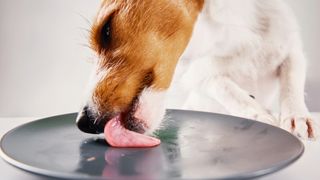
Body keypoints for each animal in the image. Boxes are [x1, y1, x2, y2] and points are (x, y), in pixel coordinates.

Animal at [76, 0, 318, 147]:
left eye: (106, 30)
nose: (82, 122)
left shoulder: (292, 50)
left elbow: (291, 85)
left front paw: (297, 118)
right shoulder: (200, 74)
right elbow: (227, 89)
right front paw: (259, 114)